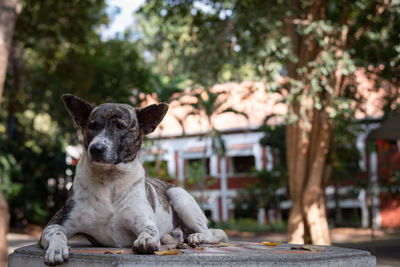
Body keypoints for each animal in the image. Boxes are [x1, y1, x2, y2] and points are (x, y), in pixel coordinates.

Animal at [41, 94, 230, 266]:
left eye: (119, 126)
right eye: (92, 126)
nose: (96, 149)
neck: (110, 180)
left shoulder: (143, 220)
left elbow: (150, 230)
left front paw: (146, 239)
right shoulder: (56, 223)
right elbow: (56, 232)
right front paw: (57, 249)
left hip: (179, 196)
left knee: (210, 234)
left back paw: (197, 236)